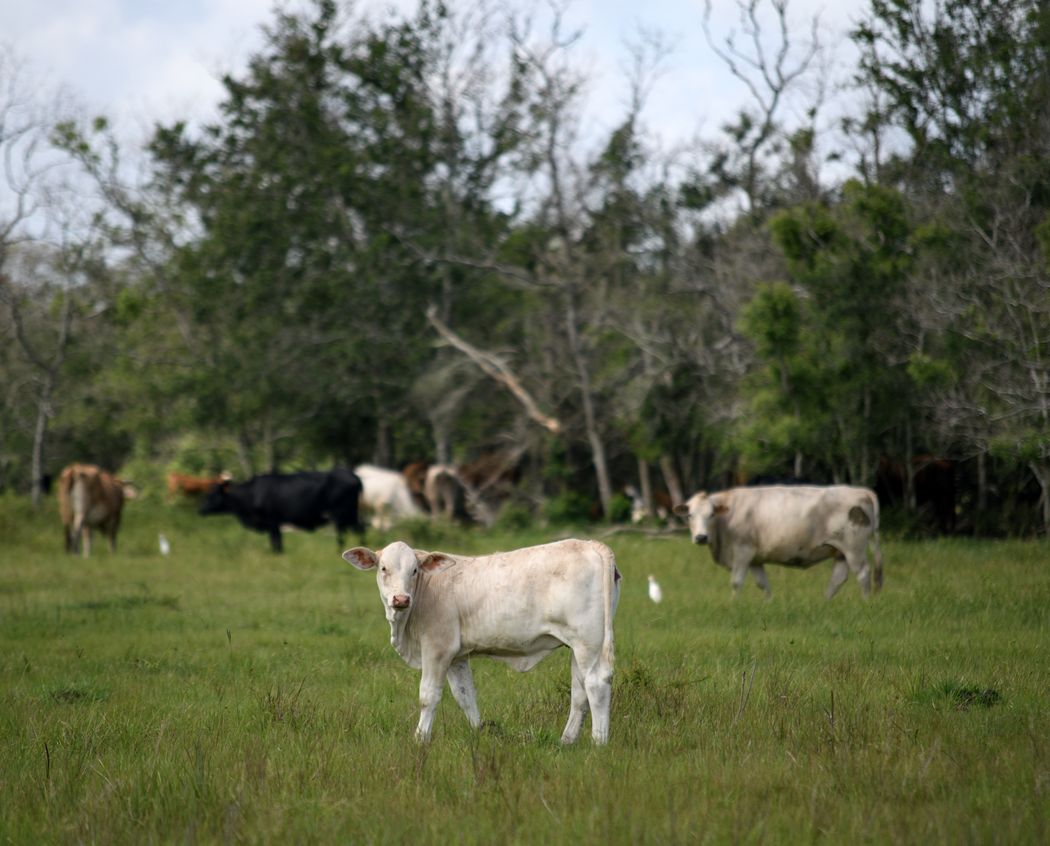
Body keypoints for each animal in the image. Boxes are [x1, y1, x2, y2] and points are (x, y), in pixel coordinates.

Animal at [200, 468, 365, 554]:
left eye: (213, 495)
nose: (200, 510)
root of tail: (354, 476)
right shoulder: (274, 523)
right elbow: (276, 540)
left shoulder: (272, 521)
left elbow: (276, 541)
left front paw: (277, 553)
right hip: (350, 514)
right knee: (358, 529)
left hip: (341, 513)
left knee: (344, 533)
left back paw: (339, 551)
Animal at [340, 541, 617, 747]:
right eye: (383, 568)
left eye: (414, 570)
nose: (400, 598)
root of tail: (591, 545)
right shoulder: (457, 656)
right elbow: (465, 696)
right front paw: (479, 732)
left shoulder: (437, 649)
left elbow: (428, 696)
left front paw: (420, 739)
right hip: (578, 647)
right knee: (579, 691)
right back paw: (567, 740)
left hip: (588, 641)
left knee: (596, 684)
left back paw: (599, 743)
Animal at [672, 487, 886, 600]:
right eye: (690, 515)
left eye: (711, 514)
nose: (701, 537)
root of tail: (861, 491)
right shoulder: (755, 559)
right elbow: (762, 583)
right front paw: (769, 603)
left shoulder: (742, 551)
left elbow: (736, 581)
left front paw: (733, 604)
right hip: (840, 550)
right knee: (838, 578)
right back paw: (825, 602)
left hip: (854, 548)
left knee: (863, 573)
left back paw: (865, 601)